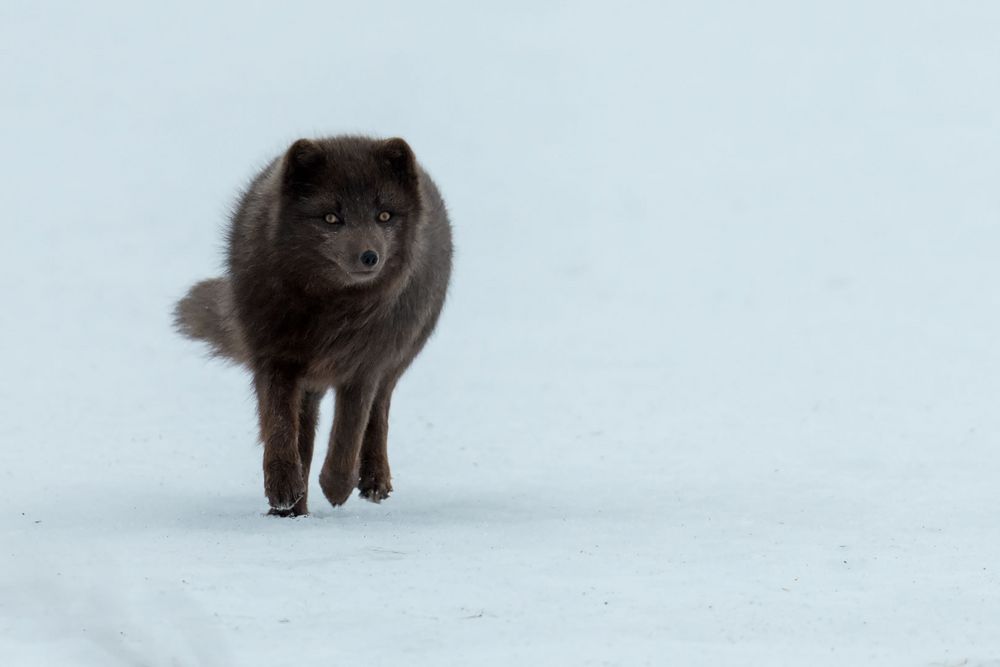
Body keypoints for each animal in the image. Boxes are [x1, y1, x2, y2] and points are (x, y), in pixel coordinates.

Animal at [174, 133, 452, 516]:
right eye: (331, 217)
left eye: (384, 215)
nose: (370, 257)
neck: (330, 310)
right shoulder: (274, 358)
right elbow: (279, 427)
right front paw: (283, 489)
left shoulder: (364, 364)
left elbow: (349, 430)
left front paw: (336, 486)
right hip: (307, 384)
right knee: (304, 433)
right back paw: (293, 510)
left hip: (398, 356)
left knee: (379, 411)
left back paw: (372, 480)